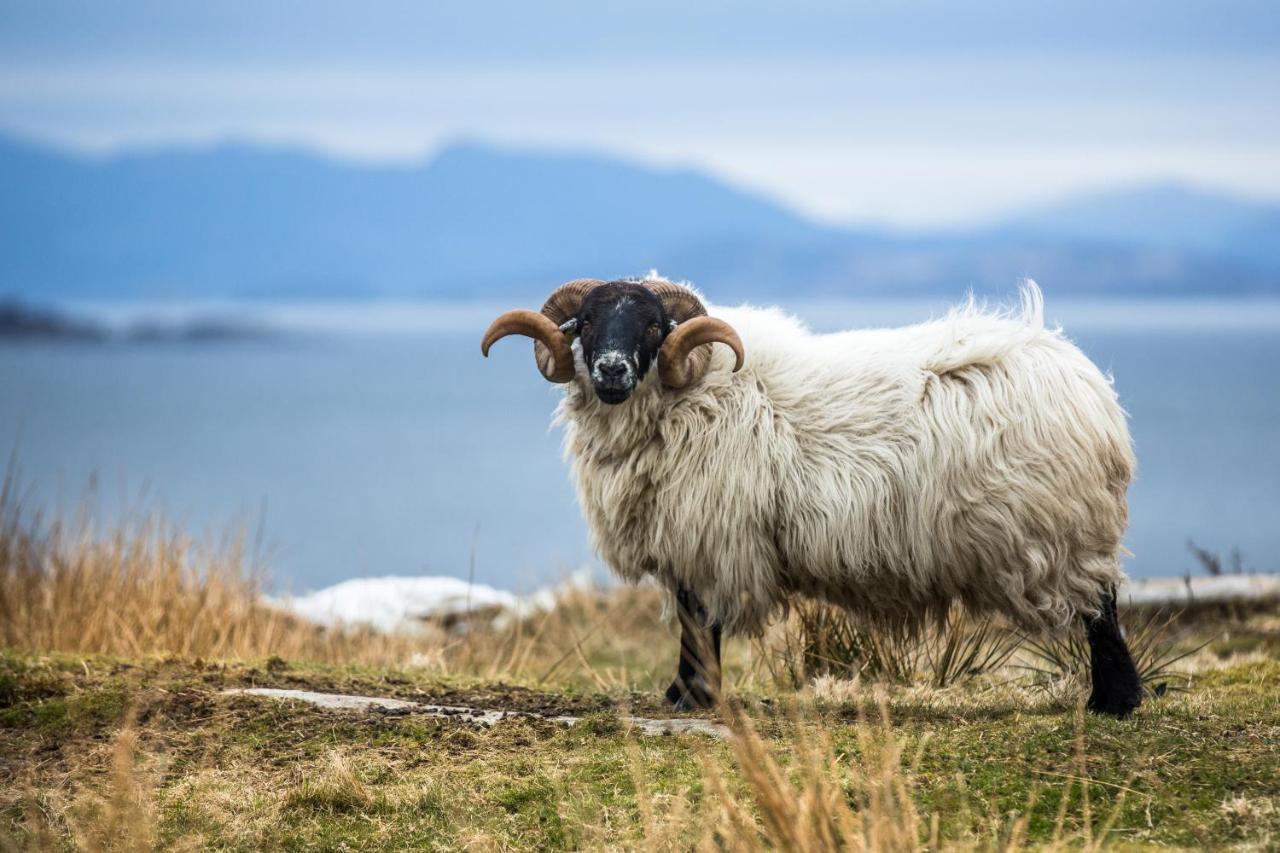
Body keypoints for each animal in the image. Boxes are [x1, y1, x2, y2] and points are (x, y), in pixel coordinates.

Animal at [481, 275, 1141, 712]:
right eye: (588, 324)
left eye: (652, 325)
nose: (612, 370)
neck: (694, 396)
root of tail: (1085, 381)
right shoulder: (683, 537)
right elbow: (689, 618)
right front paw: (680, 692)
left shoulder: (713, 535)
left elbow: (700, 620)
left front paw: (696, 698)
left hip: (1062, 529)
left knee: (1100, 609)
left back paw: (1114, 701)